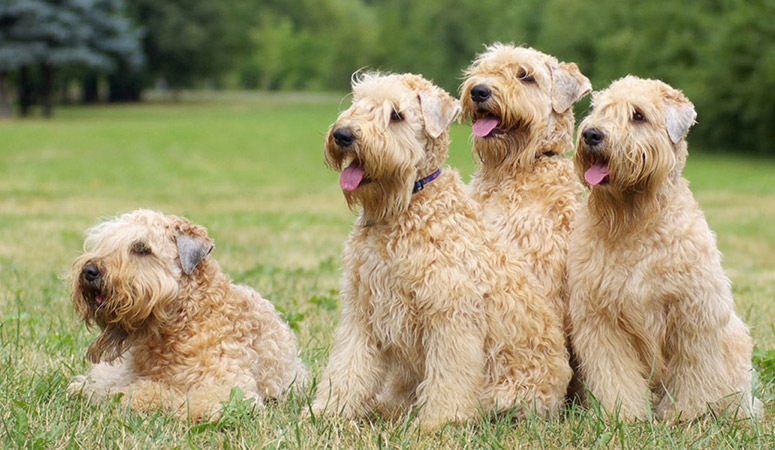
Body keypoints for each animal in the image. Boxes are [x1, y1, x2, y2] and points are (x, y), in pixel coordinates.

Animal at [310, 73, 568, 428]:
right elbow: (348, 366)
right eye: (358, 103)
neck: (406, 207)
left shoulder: (451, 315)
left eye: (396, 115)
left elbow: (450, 376)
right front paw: (328, 411)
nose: (343, 135)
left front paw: (439, 422)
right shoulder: (363, 309)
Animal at [568, 77, 764, 422]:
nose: (592, 134)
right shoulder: (602, 320)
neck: (635, 223)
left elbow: (694, 372)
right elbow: (615, 375)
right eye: (601, 110)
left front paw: (687, 415)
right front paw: (624, 415)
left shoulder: (692, 314)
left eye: (638, 115)